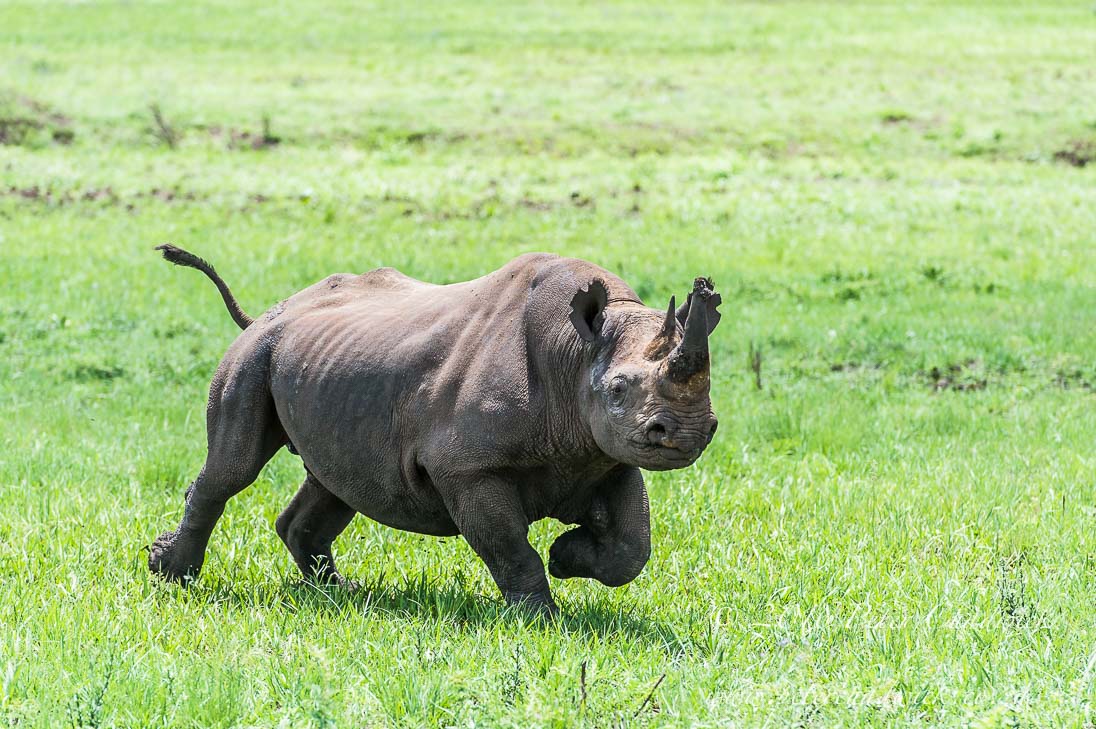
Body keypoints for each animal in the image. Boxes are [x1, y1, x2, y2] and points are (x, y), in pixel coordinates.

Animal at [149, 245, 721, 615]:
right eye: (618, 388)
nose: (690, 433)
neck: (576, 355)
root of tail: (270, 311)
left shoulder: (605, 454)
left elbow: (632, 548)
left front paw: (567, 556)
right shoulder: (466, 466)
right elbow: (507, 544)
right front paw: (540, 617)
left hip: (326, 366)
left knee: (337, 481)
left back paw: (340, 594)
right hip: (255, 355)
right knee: (233, 469)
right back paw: (173, 575)